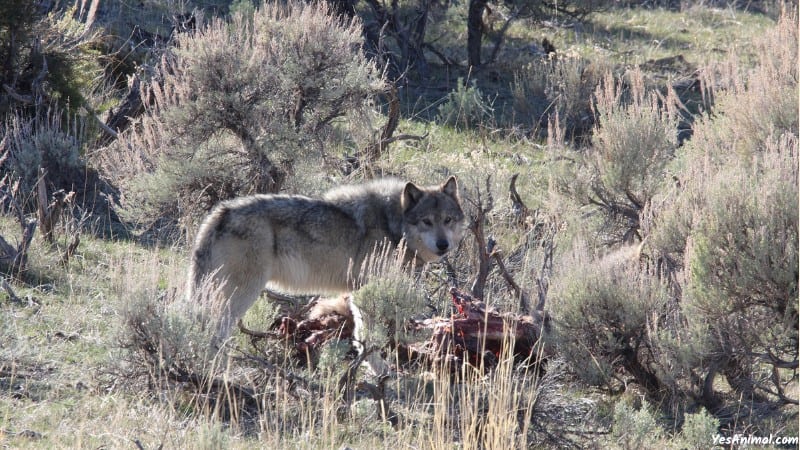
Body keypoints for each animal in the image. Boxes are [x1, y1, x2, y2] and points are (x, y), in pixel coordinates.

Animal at [187, 176, 466, 348]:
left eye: (448, 220)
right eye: (426, 221)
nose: (443, 245)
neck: (392, 226)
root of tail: (220, 212)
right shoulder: (364, 294)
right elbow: (370, 336)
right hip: (241, 296)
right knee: (214, 331)